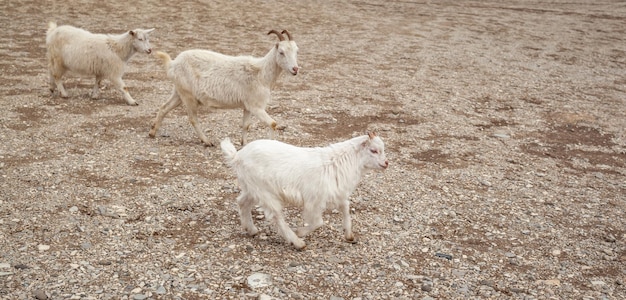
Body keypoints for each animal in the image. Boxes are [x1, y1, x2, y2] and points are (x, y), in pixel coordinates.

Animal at [150, 29, 298, 146]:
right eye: (281, 52)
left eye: (296, 51)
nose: (295, 69)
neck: (261, 73)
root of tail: (173, 64)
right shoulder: (257, 106)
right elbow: (273, 123)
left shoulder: (248, 106)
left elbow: (246, 125)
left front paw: (244, 144)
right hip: (188, 96)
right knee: (193, 118)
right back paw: (207, 141)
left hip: (179, 91)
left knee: (164, 107)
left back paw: (152, 132)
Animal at [219, 132, 386, 250]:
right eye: (373, 150)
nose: (386, 163)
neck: (338, 161)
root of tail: (237, 156)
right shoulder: (314, 200)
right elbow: (318, 222)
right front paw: (300, 232)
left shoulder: (338, 194)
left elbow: (345, 209)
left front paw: (349, 235)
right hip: (265, 191)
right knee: (275, 216)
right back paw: (297, 242)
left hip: (253, 188)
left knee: (242, 202)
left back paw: (251, 229)